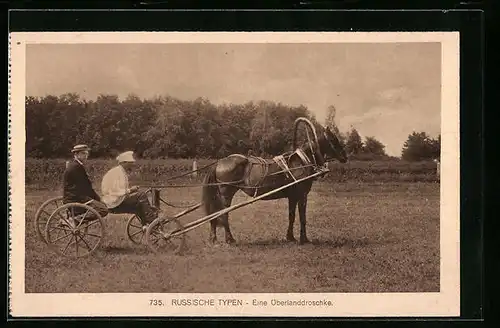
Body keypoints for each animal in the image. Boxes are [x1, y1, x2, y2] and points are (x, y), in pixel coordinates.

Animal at [199, 116, 348, 245]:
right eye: (333, 140)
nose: (345, 157)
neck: (301, 162)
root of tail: (219, 162)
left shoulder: (292, 196)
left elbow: (292, 216)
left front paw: (290, 237)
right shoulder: (302, 195)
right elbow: (302, 217)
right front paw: (304, 239)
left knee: (215, 214)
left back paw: (213, 238)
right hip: (226, 194)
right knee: (223, 214)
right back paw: (230, 239)